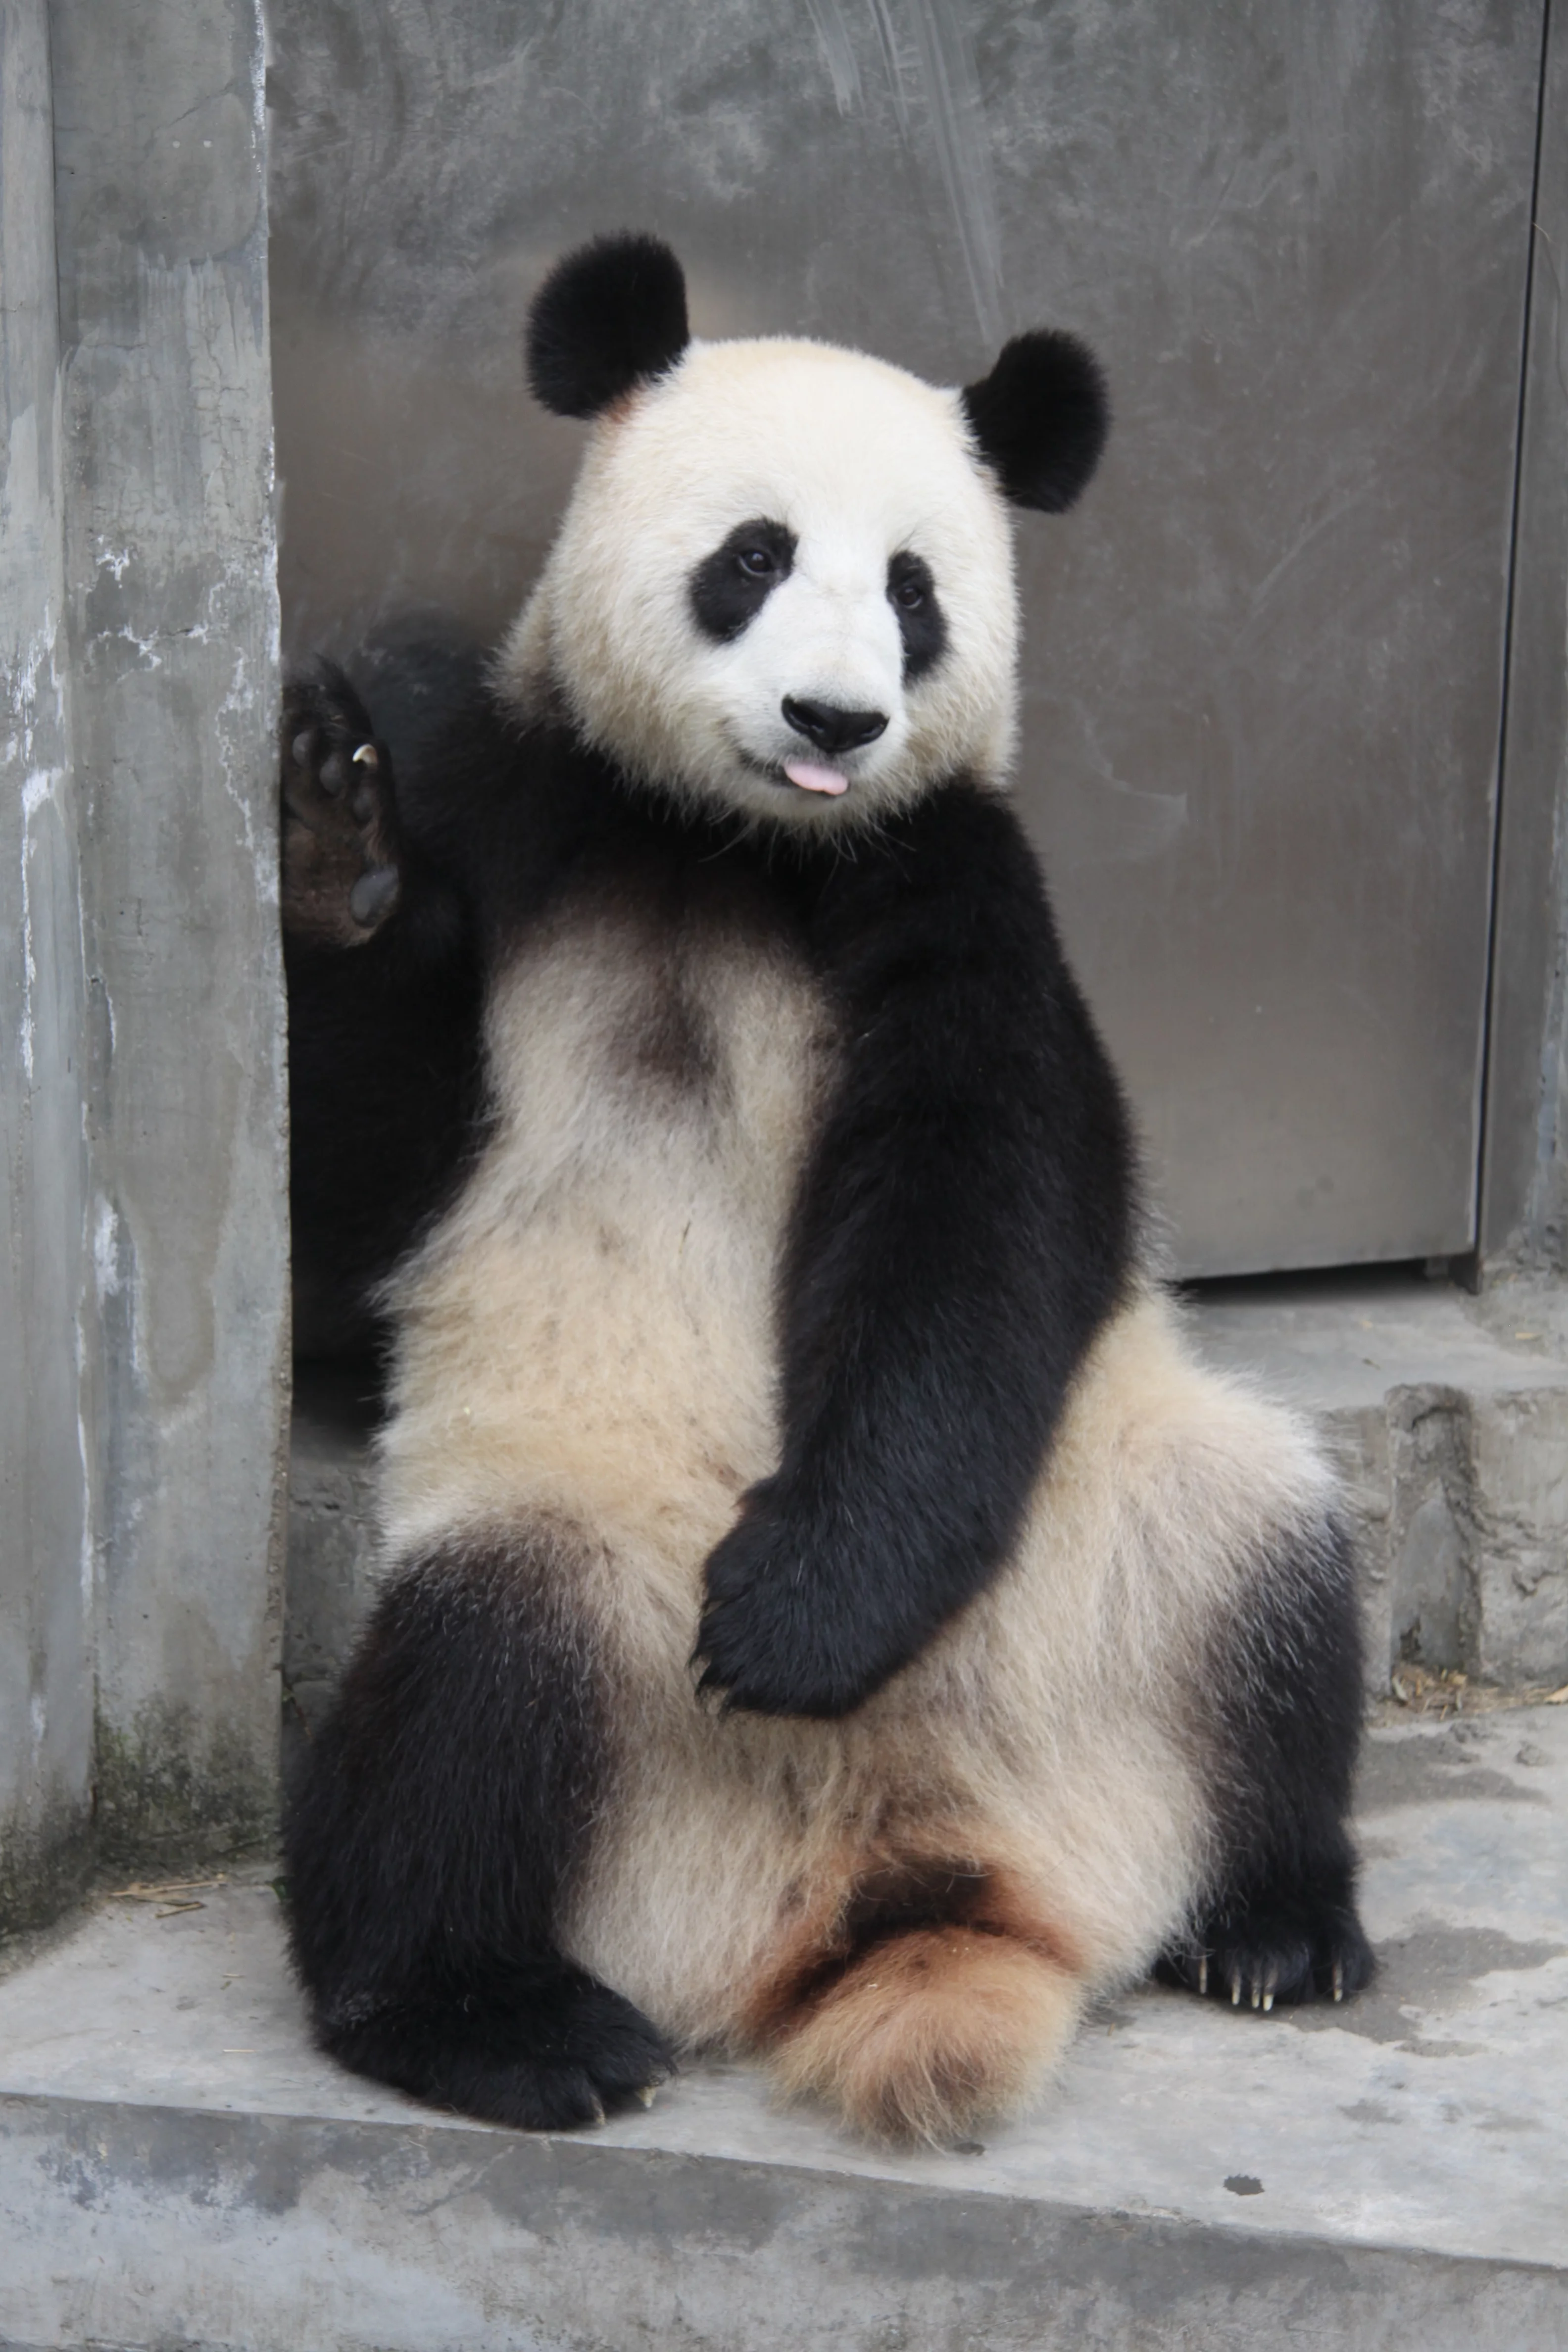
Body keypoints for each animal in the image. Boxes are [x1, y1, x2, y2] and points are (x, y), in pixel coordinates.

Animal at [281, 233, 1373, 2146]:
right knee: (463, 1705)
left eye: (915, 590)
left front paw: (805, 1617)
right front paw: (340, 837)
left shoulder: (948, 889)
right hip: (579, 1566)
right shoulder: (523, 815)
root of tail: (892, 1872)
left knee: (1278, 1580)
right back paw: (497, 2018)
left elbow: (983, 1220)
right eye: (753, 556)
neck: (735, 846)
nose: (834, 721)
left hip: (1125, 1531)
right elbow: (360, 1196)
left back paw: (1273, 1921)